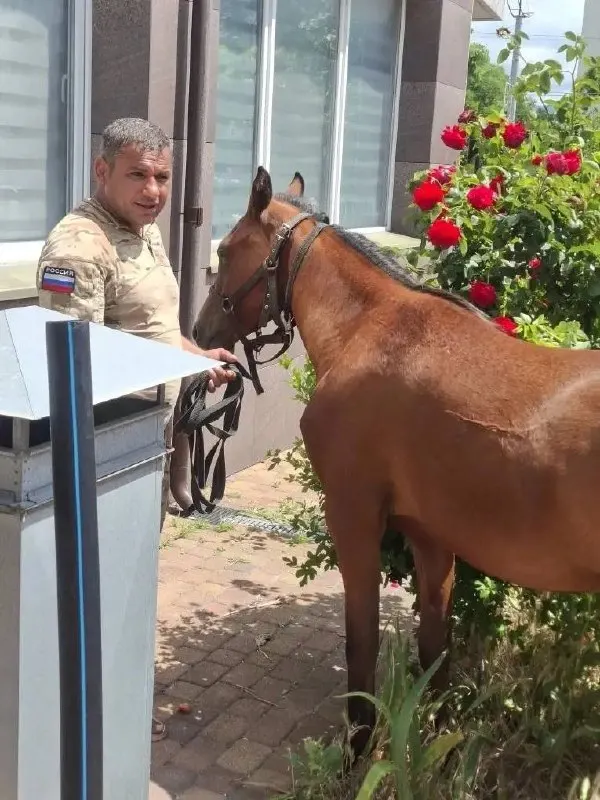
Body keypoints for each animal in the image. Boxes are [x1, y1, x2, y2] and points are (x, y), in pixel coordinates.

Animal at [193, 166, 600, 756]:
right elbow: (435, 651)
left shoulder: (354, 516)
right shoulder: (431, 535)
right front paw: (434, 751)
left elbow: (360, 642)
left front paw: (358, 751)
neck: (371, 328)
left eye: (224, 251)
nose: (200, 333)